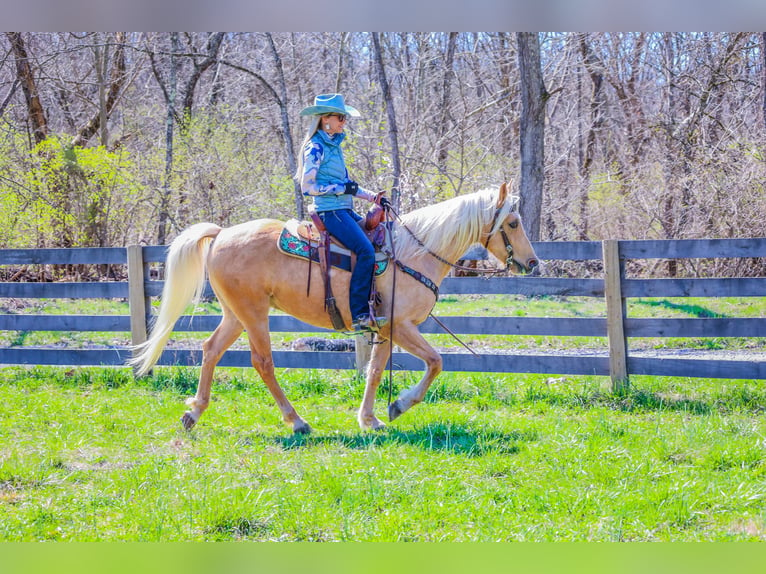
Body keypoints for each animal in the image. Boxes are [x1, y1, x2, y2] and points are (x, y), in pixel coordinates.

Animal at [132, 182, 540, 434]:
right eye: (513, 222)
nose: (533, 263)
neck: (414, 252)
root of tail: (220, 234)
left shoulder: (385, 330)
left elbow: (374, 372)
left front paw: (371, 418)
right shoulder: (402, 326)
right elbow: (436, 362)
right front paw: (399, 406)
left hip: (235, 315)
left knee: (210, 350)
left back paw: (193, 412)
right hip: (254, 314)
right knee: (262, 362)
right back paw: (296, 421)